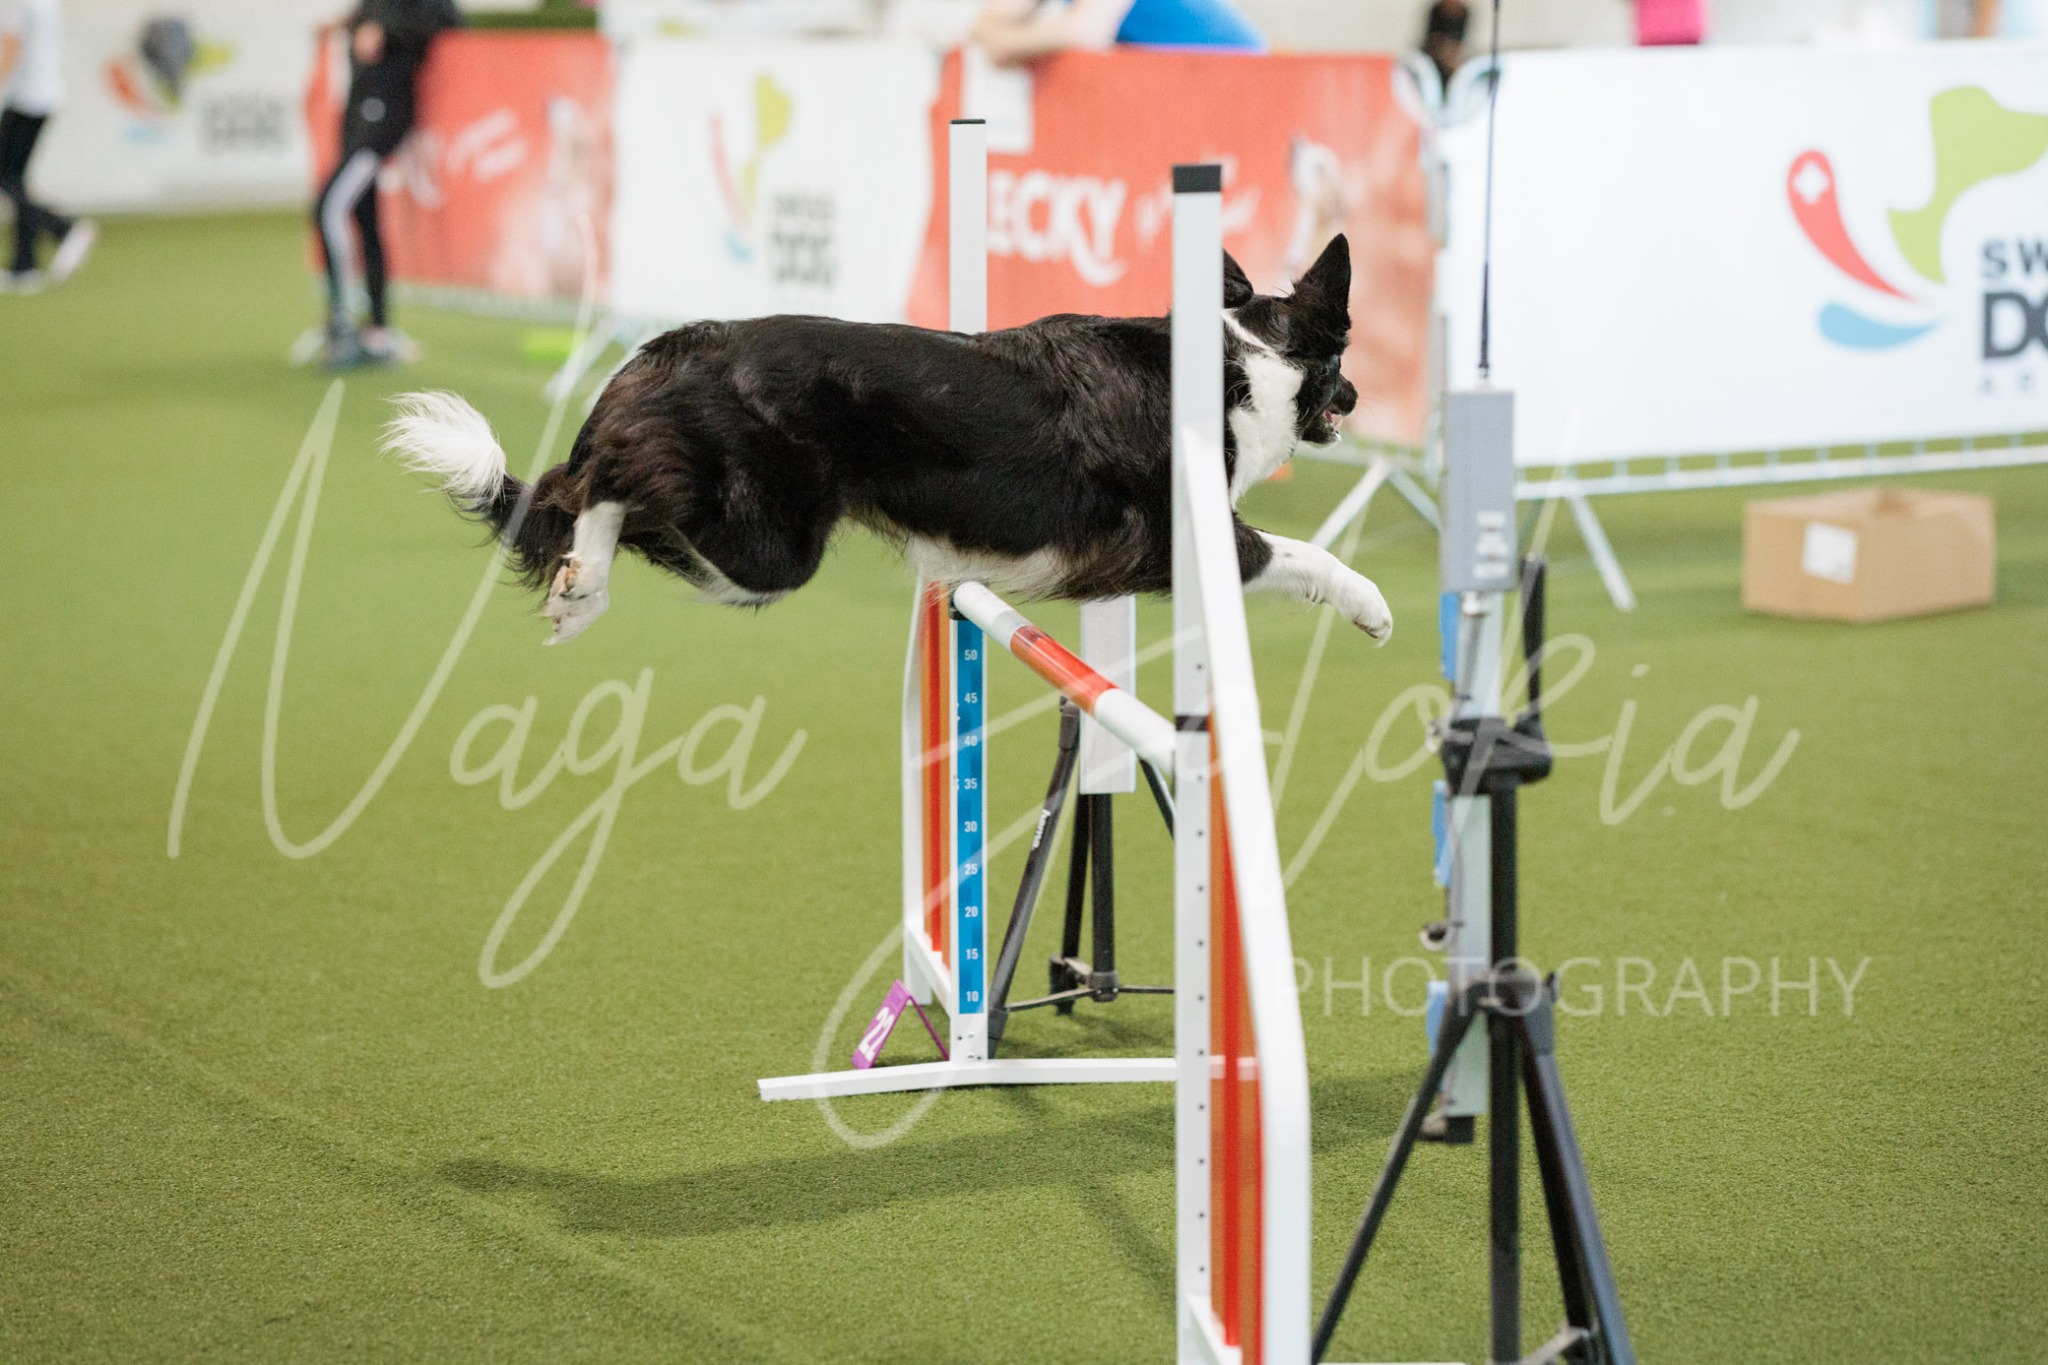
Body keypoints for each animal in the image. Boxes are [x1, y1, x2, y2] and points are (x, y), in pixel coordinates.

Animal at [386, 234, 1391, 646]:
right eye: (1347, 360)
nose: (1357, 394)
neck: (1245, 361)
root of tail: (688, 342)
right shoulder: (1181, 532)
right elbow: (1305, 552)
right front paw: (1373, 606)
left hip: (750, 539)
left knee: (595, 489)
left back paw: (580, 592)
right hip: (770, 542)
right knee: (610, 479)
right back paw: (586, 581)